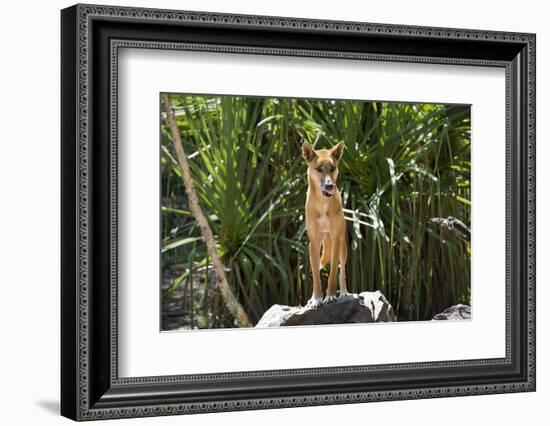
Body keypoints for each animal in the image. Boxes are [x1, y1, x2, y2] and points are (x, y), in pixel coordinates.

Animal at [304, 141, 352, 308]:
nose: (330, 185)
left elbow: (332, 274)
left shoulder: (336, 239)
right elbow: (316, 275)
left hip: (343, 246)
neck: (323, 204)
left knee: (342, 271)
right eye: (318, 168)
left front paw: (330, 296)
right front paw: (316, 299)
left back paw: (343, 292)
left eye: (332, 168)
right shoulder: (313, 243)